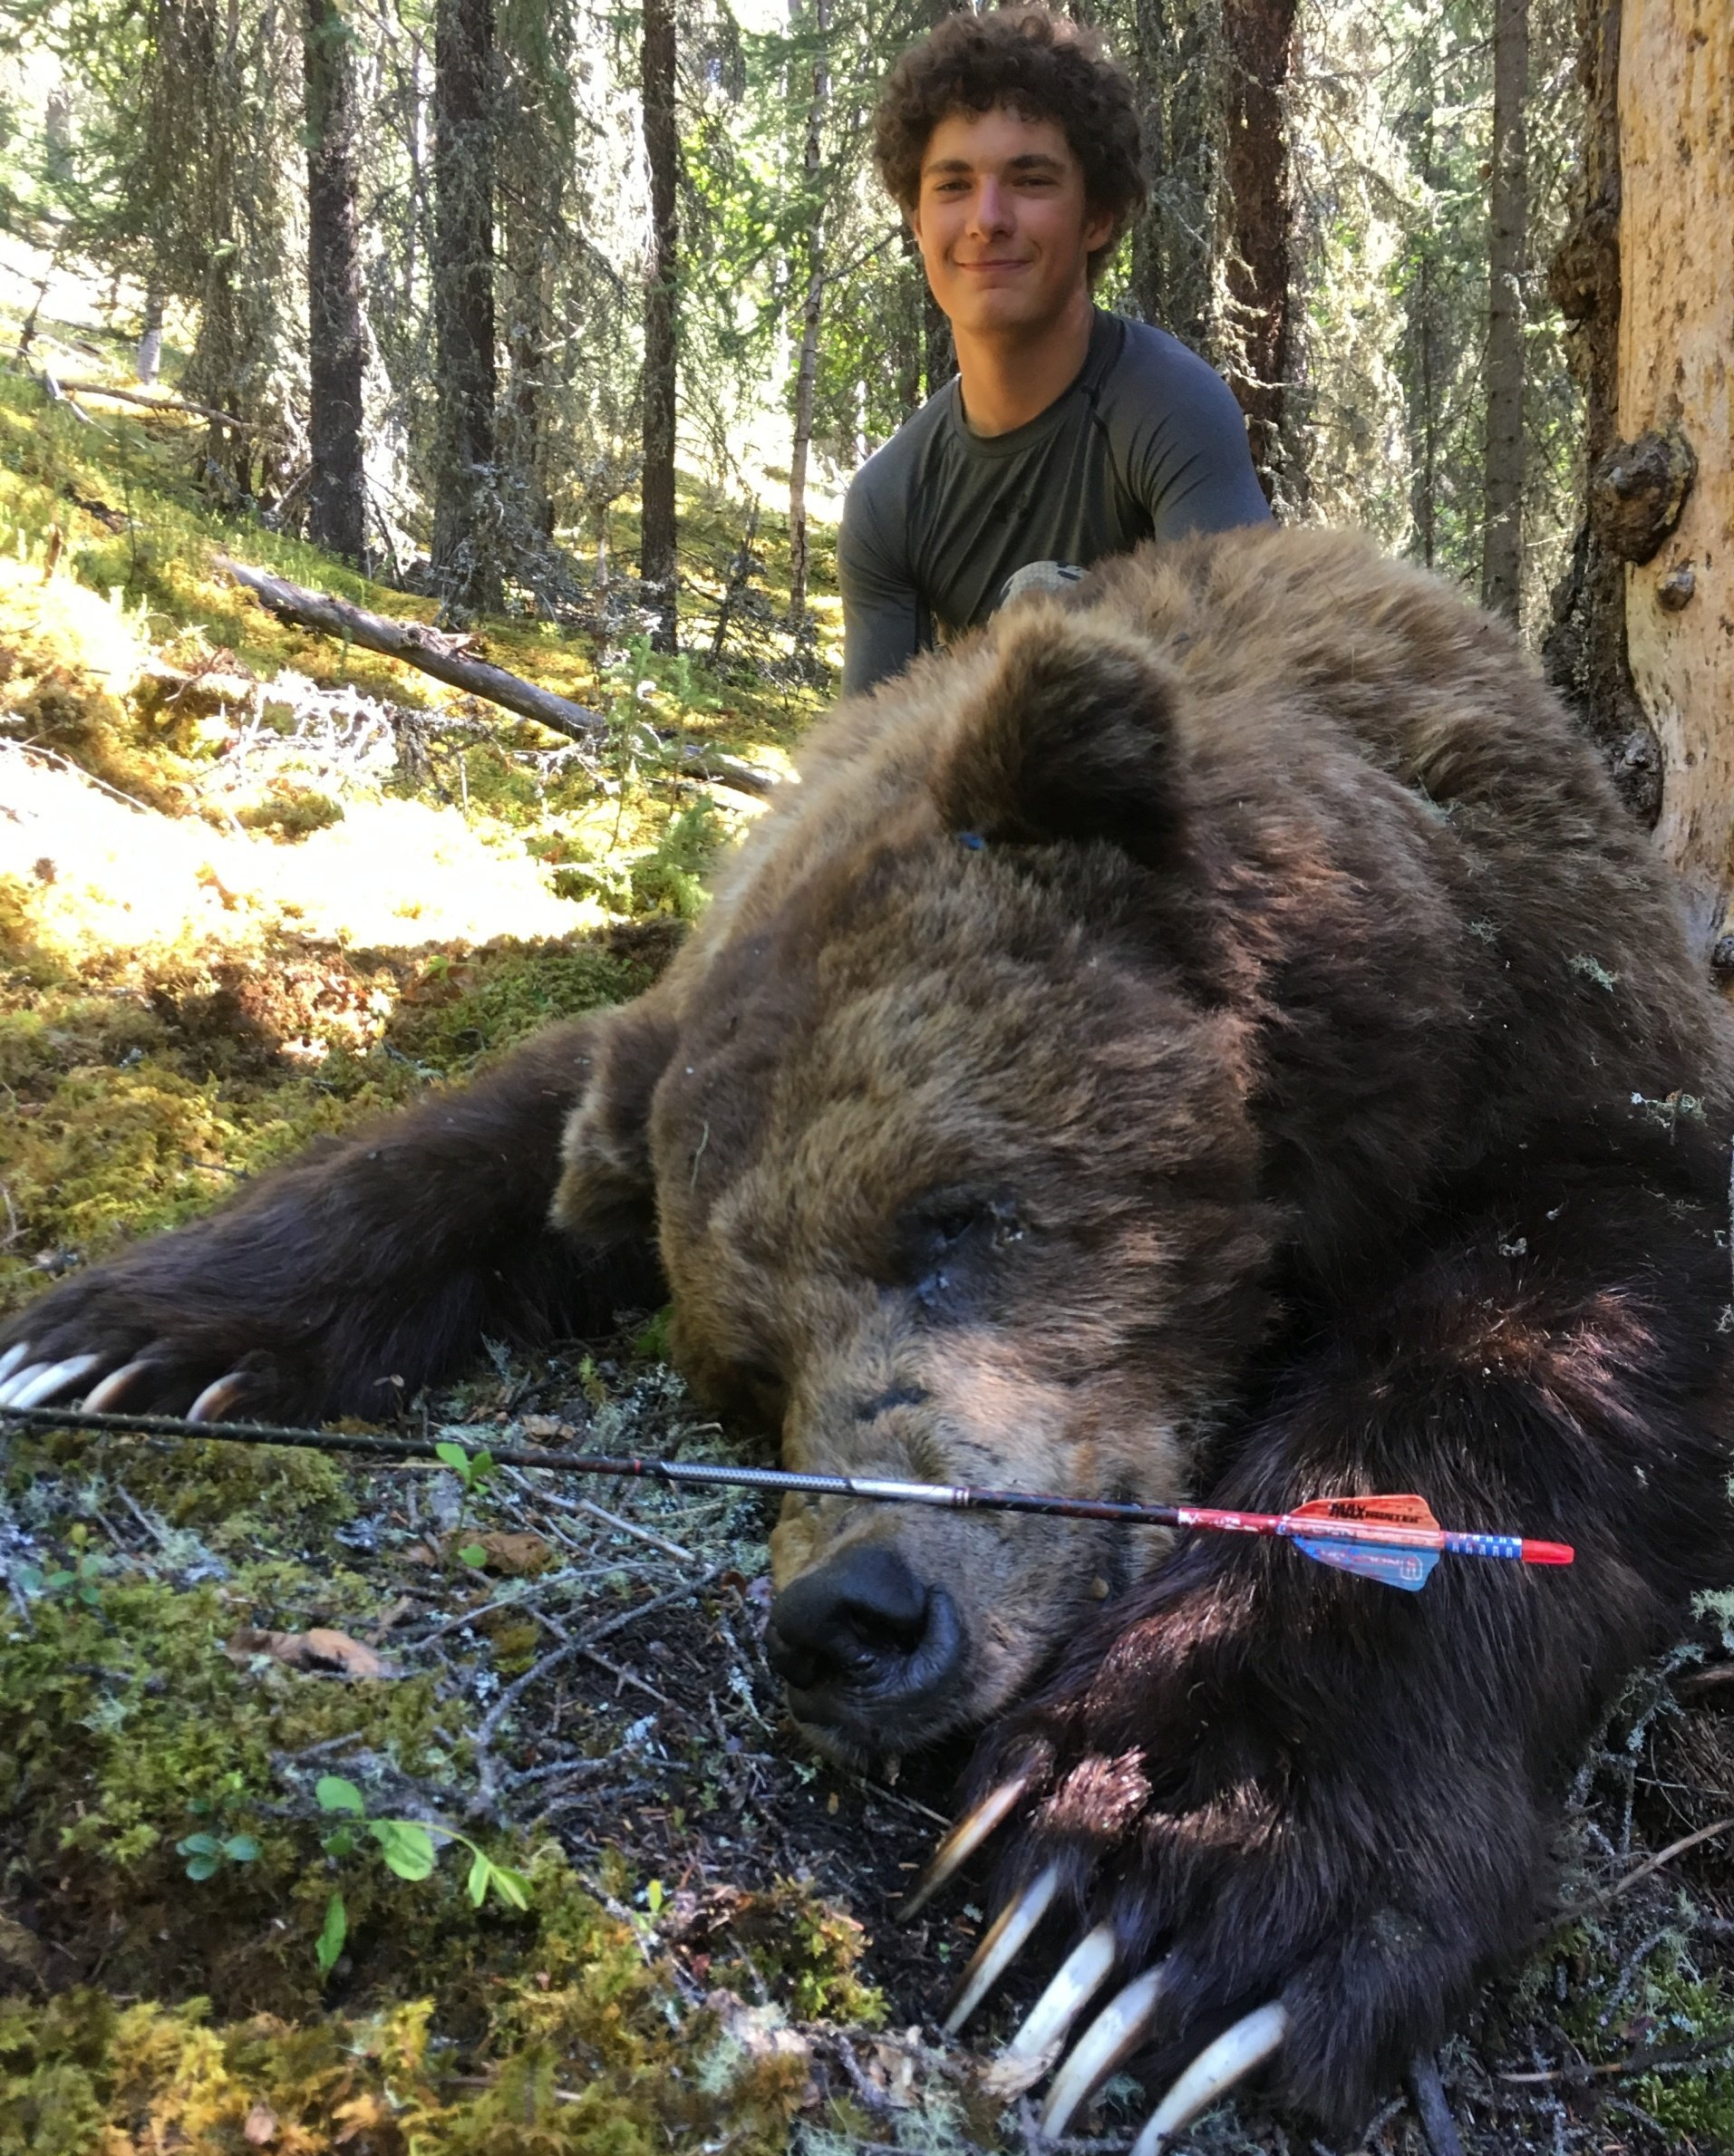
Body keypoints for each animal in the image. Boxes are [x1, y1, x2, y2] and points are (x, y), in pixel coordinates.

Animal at [3, 525, 1732, 2142]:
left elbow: (1544, 1319)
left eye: (955, 1217)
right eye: (742, 1377)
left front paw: (1155, 1859)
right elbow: (522, 1107)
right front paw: (107, 1333)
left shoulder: (1561, 1033)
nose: (852, 1612)